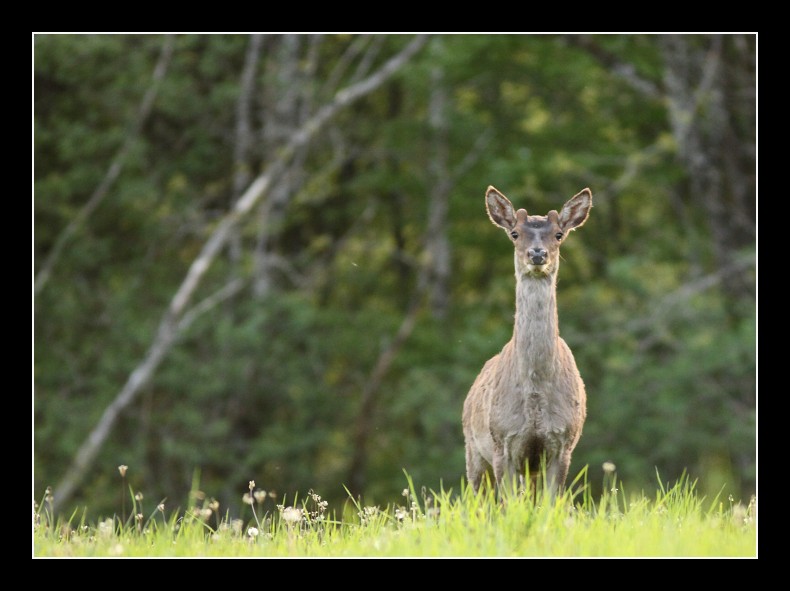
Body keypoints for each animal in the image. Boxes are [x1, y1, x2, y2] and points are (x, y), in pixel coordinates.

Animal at [464, 185, 592, 500]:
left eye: (558, 234)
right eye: (514, 233)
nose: (537, 253)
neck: (536, 392)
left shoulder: (563, 441)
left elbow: (550, 503)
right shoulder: (502, 441)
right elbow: (508, 505)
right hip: (473, 450)